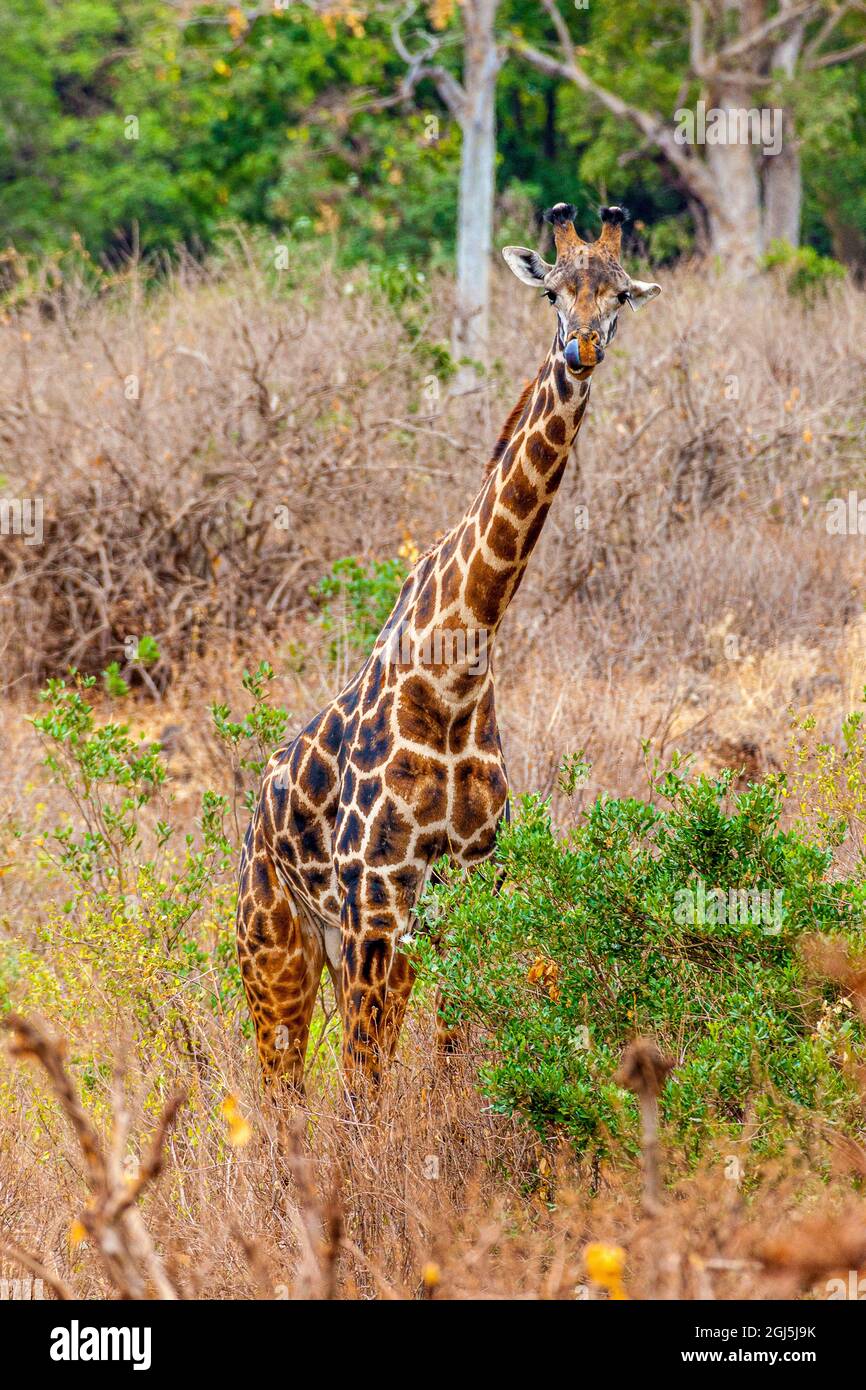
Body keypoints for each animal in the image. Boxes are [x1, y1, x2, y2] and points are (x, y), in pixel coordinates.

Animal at [236, 203, 661, 1092]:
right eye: (553, 293)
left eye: (620, 295)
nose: (583, 349)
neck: (458, 667)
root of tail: (254, 813)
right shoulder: (378, 898)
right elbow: (365, 1088)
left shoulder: (472, 884)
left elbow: (456, 1055)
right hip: (277, 948)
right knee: (285, 1092)